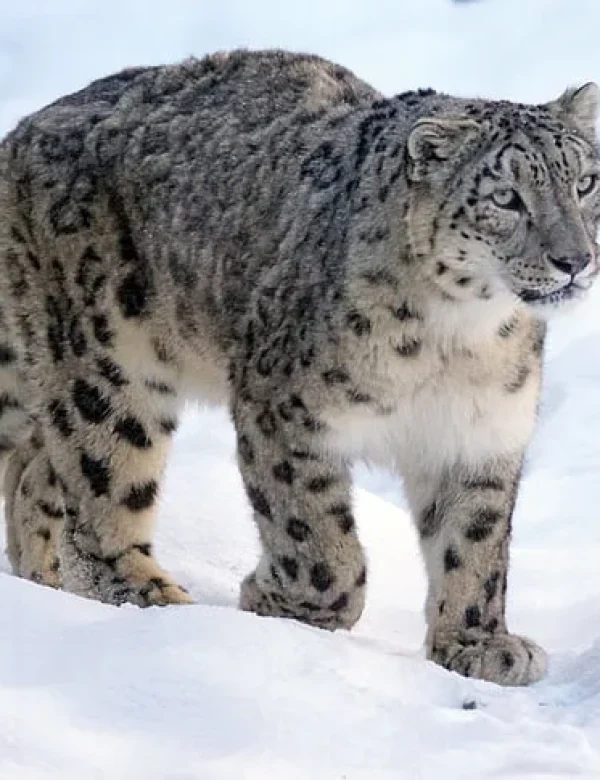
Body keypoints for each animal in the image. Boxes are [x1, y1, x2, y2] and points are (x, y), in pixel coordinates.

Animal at [0, 49, 598, 687]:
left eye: (585, 182)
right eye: (506, 197)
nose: (575, 259)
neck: (460, 339)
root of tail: (24, 131)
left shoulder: (480, 433)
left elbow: (475, 541)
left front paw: (477, 643)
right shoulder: (285, 413)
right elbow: (317, 537)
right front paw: (278, 599)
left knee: (37, 468)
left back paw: (43, 583)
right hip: (111, 368)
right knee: (102, 489)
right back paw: (152, 602)